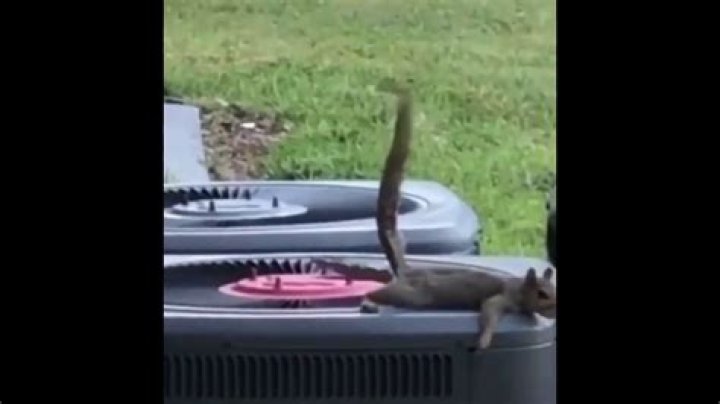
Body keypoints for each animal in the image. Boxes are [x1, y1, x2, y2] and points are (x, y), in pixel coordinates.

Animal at [360, 85, 557, 350]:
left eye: (555, 289)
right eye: (542, 294)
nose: (556, 309)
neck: (518, 286)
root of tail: (407, 272)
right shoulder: (501, 298)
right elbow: (489, 312)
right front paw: (483, 341)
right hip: (413, 295)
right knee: (380, 293)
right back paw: (368, 301)